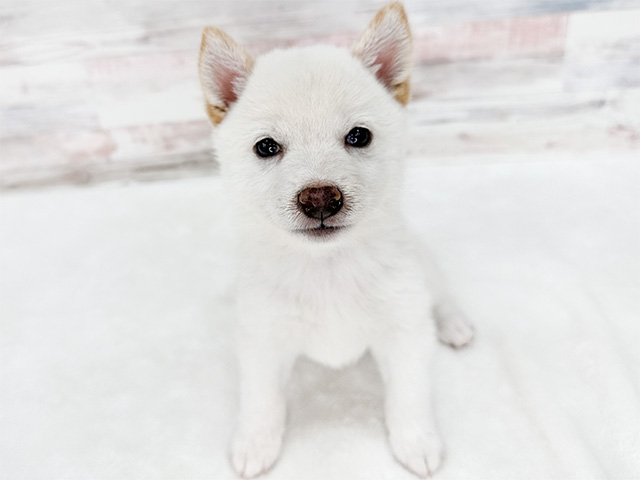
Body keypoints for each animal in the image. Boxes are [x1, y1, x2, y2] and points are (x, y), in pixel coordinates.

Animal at [198, 2, 472, 476]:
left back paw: (454, 323)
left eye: (359, 136)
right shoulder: (263, 341)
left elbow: (410, 395)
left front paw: (416, 441)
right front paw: (256, 443)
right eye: (266, 146)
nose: (320, 198)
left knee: (440, 294)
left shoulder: (404, 332)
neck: (327, 270)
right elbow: (261, 400)